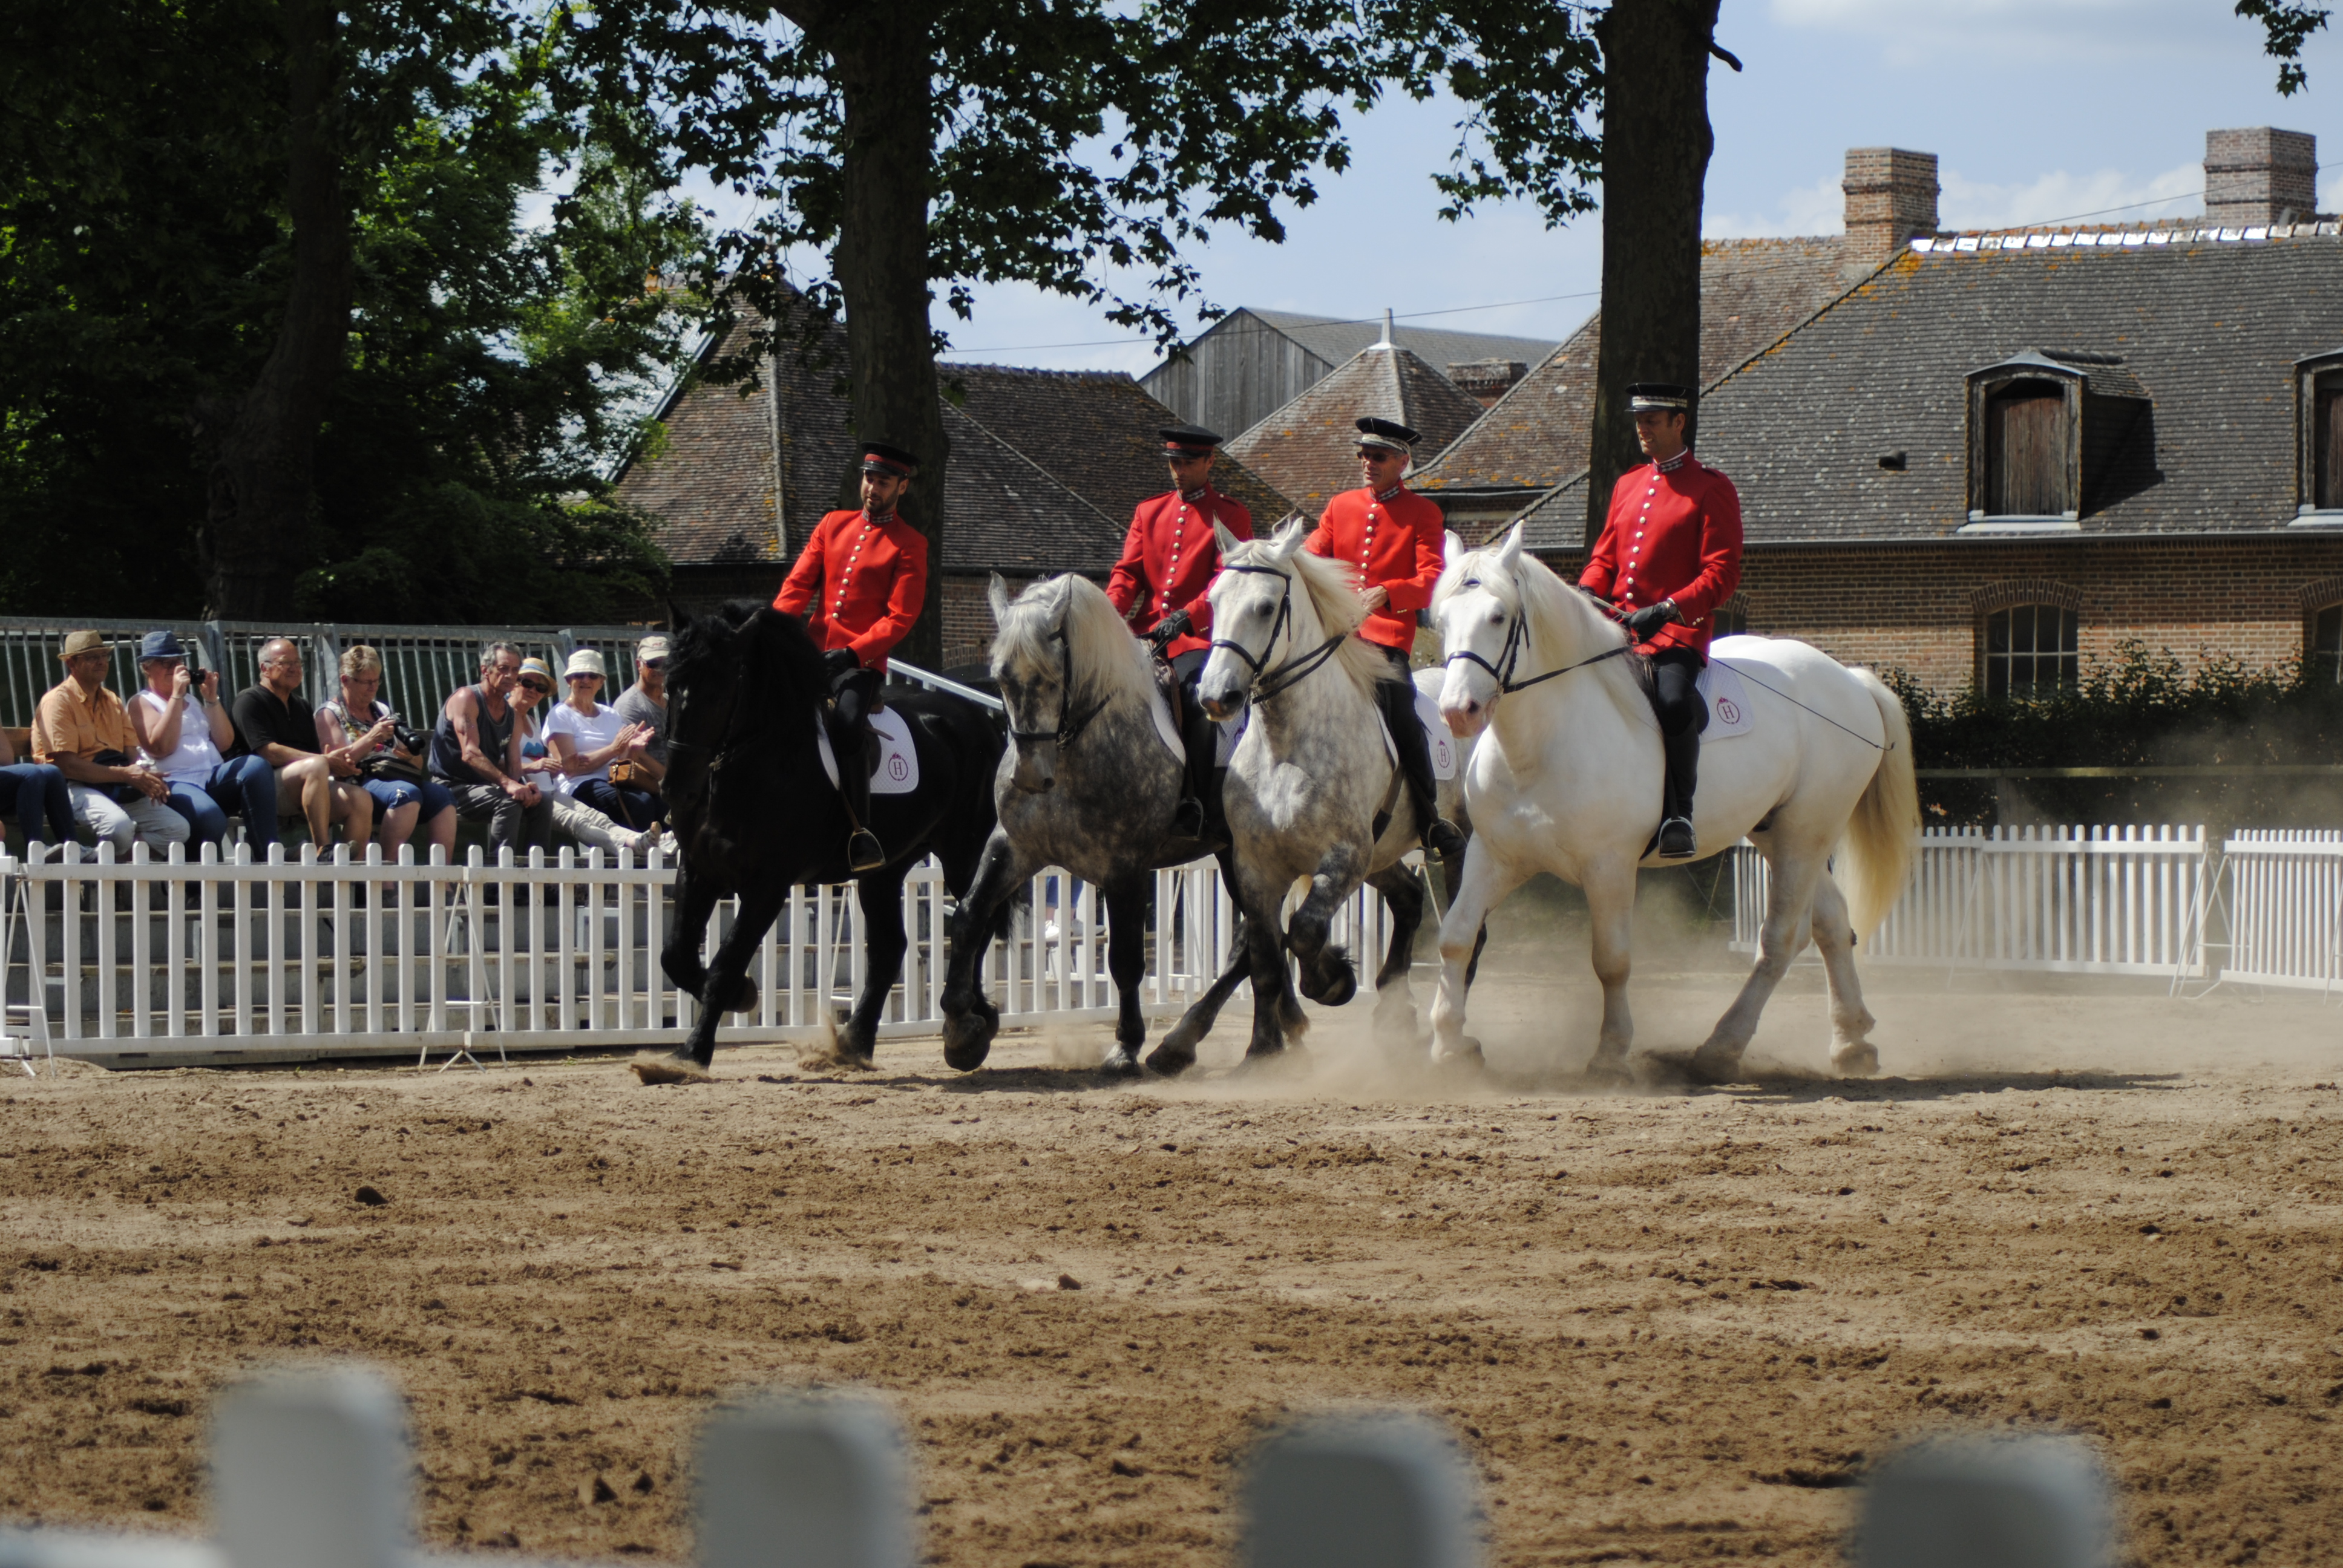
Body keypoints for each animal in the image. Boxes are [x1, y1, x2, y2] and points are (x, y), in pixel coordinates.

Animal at [637, 599, 1003, 1078]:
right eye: (669, 688)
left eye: (719, 693)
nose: (677, 790)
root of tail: (982, 719)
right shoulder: (699, 870)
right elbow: (675, 956)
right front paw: (743, 995)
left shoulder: (767, 886)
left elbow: (724, 964)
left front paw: (692, 1053)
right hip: (885, 870)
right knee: (890, 949)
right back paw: (856, 1043)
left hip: (965, 854)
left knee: (976, 920)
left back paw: (970, 1029)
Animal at [1199, 520, 1434, 1059]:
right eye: (1214, 600)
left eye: (1266, 607)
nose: (1215, 697)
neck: (1286, 746)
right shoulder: (1255, 867)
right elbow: (1265, 956)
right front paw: (1263, 1052)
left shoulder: (1345, 856)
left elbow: (1304, 932)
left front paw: (1333, 980)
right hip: (1383, 855)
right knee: (1410, 898)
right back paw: (1395, 1012)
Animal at [1424, 523, 1921, 1078]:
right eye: (1440, 620)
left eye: (1498, 615)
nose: (1458, 711)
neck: (1540, 745)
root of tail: (1848, 678)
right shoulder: (1494, 857)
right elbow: (1457, 936)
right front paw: (1450, 1046)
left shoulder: (1610, 867)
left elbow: (1611, 960)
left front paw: (1611, 1052)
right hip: (1776, 831)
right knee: (1832, 924)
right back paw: (1852, 1041)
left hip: (1807, 832)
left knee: (1781, 939)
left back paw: (1723, 1045)